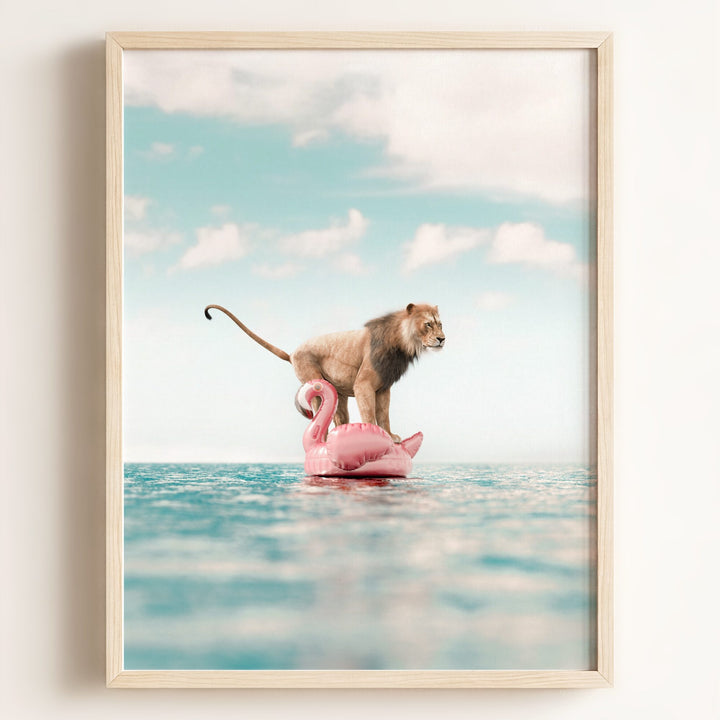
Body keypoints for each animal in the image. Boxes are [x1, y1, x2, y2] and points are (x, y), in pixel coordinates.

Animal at [204, 303, 445, 442]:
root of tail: (292, 353)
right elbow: (370, 413)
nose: (442, 339)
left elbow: (384, 414)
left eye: (440, 324)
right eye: (428, 324)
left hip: (340, 394)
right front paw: (377, 435)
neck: (401, 344)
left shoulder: (384, 387)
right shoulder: (364, 384)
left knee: (340, 419)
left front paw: (391, 436)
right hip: (316, 385)